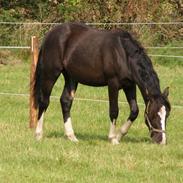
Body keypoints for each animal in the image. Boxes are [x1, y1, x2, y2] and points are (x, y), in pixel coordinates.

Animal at [33, 22, 171, 144]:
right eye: (154, 115)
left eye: (167, 115)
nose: (162, 141)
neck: (124, 54)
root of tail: (50, 34)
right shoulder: (113, 84)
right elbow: (114, 110)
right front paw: (112, 138)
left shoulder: (130, 85)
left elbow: (134, 111)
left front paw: (119, 136)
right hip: (51, 73)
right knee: (44, 101)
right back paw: (38, 135)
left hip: (71, 77)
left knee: (66, 102)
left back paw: (72, 137)